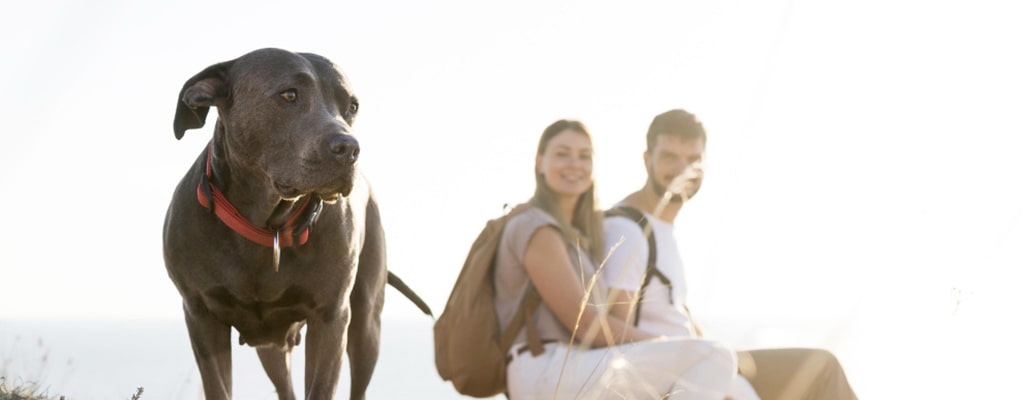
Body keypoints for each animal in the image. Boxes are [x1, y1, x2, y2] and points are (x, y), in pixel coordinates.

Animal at [165, 48, 430, 398]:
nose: (350, 148)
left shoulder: (330, 318)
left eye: (352, 106)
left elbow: (320, 386)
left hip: (365, 324)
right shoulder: (202, 318)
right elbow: (218, 387)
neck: (266, 225)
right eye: (289, 95)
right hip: (270, 346)